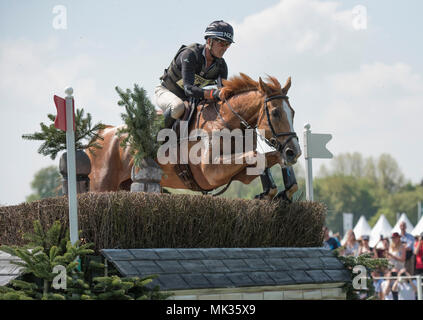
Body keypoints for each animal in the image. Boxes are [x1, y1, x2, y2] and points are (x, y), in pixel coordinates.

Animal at [87, 73, 302, 199]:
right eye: (275, 113)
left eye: (293, 112)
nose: (295, 152)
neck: (226, 121)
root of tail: (102, 133)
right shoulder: (211, 173)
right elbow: (257, 156)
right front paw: (271, 191)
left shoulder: (238, 173)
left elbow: (266, 159)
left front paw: (279, 191)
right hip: (101, 186)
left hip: (123, 186)